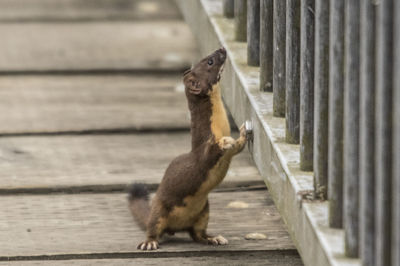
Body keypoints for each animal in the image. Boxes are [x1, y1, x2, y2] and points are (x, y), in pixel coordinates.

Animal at [128, 48, 247, 251]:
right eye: (209, 61)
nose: (222, 49)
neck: (219, 126)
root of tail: (176, 227)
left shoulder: (230, 154)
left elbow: (238, 147)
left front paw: (244, 133)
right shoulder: (204, 149)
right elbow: (209, 152)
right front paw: (224, 141)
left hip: (204, 211)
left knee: (197, 234)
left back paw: (214, 238)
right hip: (159, 208)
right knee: (153, 226)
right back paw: (149, 242)